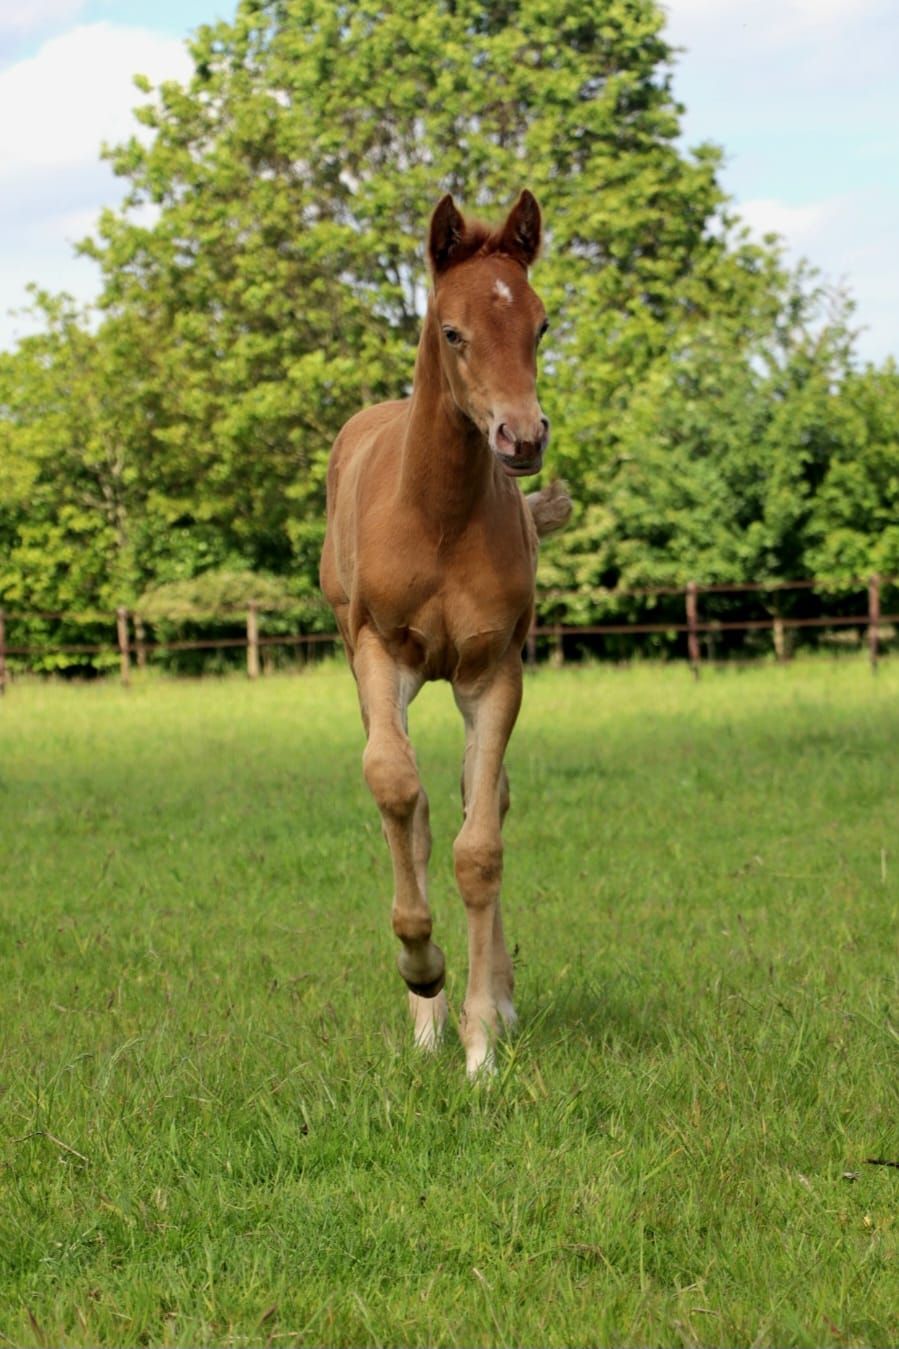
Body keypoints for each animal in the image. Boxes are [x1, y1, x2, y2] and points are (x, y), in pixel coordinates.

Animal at [319, 190, 570, 1075]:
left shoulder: (492, 670)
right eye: (453, 330)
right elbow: (398, 791)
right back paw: (425, 1017)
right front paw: (421, 973)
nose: (521, 438)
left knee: (478, 802)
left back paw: (486, 1006)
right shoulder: (377, 651)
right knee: (416, 807)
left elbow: (479, 844)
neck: (435, 515)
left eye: (539, 324)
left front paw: (481, 1038)